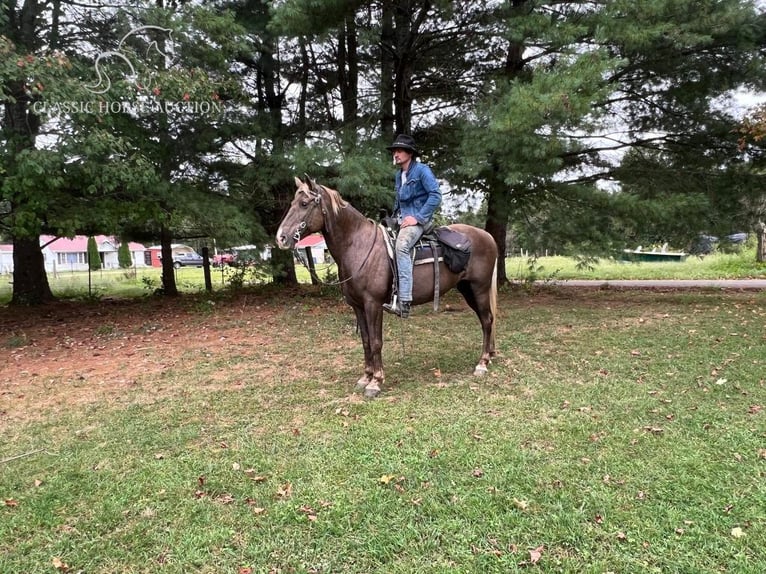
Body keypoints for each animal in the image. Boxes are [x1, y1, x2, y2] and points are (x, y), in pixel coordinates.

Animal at [276, 177, 498, 400]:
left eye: (304, 204)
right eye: (292, 203)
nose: (281, 238)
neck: (359, 245)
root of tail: (487, 236)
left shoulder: (373, 304)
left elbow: (376, 342)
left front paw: (376, 382)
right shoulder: (357, 306)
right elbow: (365, 341)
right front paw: (365, 377)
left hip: (479, 288)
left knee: (487, 320)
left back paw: (482, 364)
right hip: (467, 289)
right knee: (485, 320)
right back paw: (488, 356)